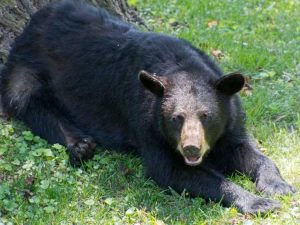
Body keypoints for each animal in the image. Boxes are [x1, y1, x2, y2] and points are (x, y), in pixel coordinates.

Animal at [0, 0, 296, 213]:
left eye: (206, 115)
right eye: (176, 117)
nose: (191, 148)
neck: (182, 67)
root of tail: (32, 23)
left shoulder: (230, 117)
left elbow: (246, 150)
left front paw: (278, 186)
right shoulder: (146, 123)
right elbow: (169, 169)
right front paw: (257, 202)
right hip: (26, 67)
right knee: (29, 102)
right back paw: (80, 145)